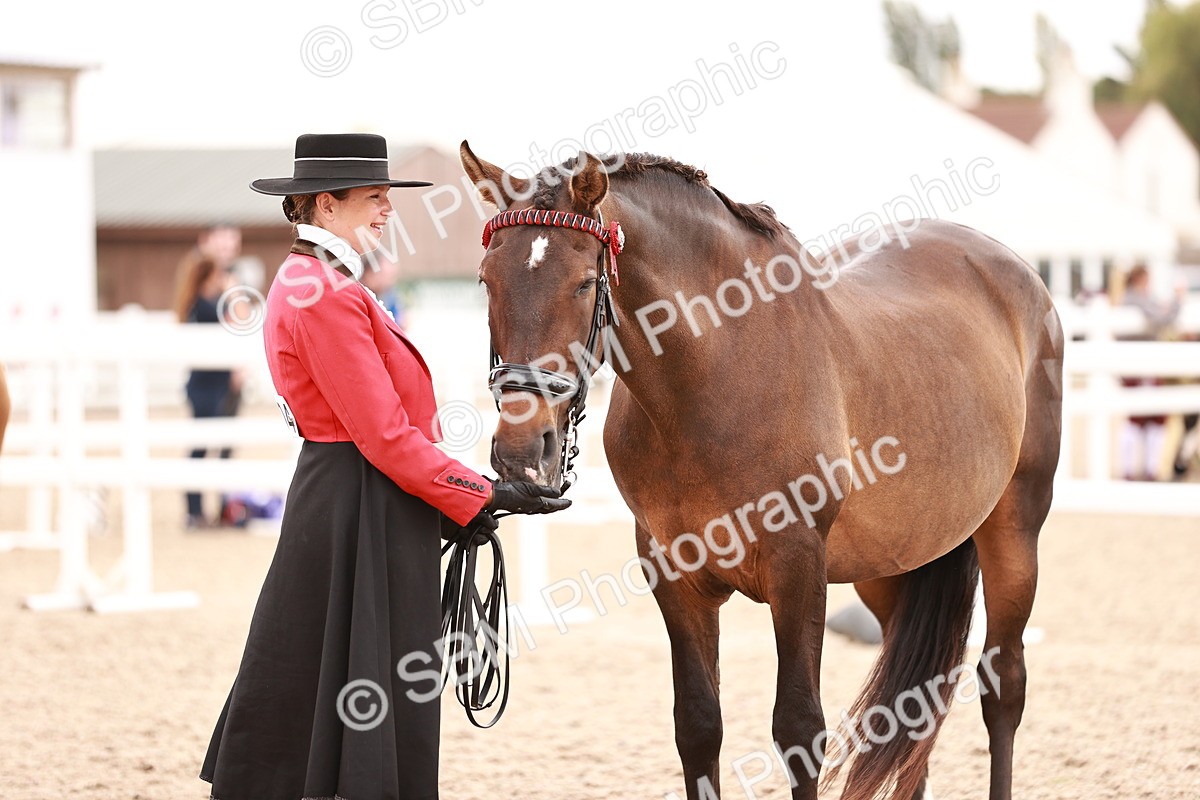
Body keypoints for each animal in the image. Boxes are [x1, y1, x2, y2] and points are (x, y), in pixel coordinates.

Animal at [460, 140, 1062, 800]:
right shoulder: (673, 574)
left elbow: (798, 729)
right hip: (891, 568)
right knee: (914, 714)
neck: (718, 372)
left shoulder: (797, 566)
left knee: (1003, 685)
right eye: (486, 280)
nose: (522, 450)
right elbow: (698, 725)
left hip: (1014, 532)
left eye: (585, 283)